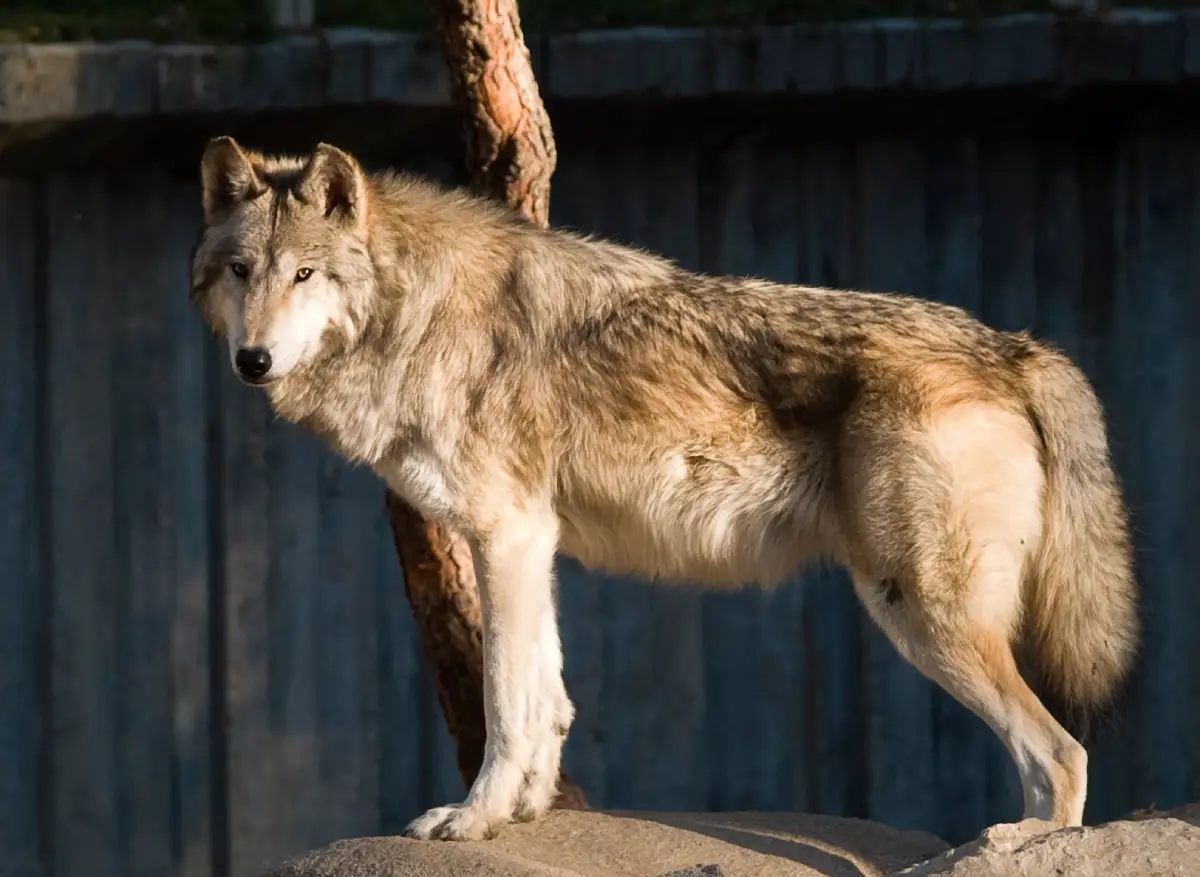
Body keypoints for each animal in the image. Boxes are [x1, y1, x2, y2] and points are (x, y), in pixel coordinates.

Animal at [187, 135, 1132, 844]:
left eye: (305, 275)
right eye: (240, 270)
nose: (252, 361)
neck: (414, 311)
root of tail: (1015, 345)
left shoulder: (502, 534)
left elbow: (504, 704)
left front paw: (474, 818)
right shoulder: (529, 542)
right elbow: (546, 695)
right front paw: (526, 813)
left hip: (921, 611)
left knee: (1063, 753)